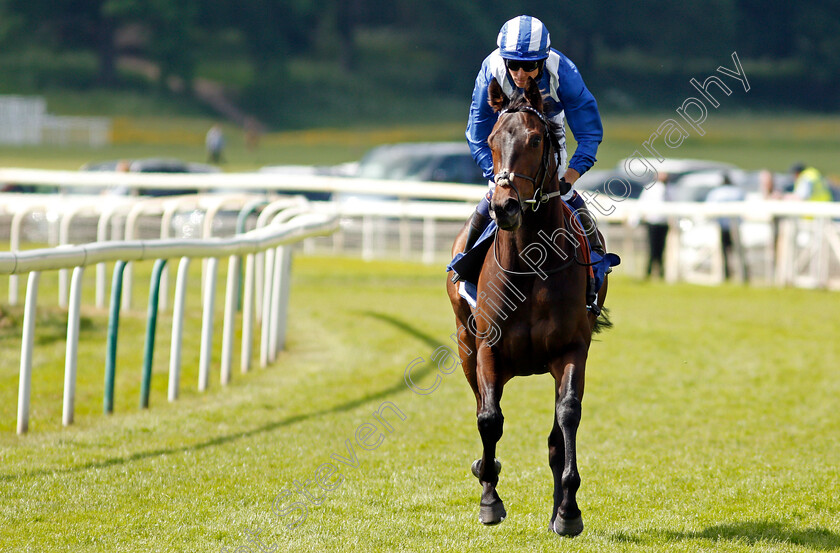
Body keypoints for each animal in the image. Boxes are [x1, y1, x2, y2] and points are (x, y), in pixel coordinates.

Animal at [446, 75, 612, 532]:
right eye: (491, 138)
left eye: (536, 139)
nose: (505, 206)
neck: (531, 266)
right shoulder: (487, 349)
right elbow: (488, 418)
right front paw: (489, 498)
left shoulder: (572, 349)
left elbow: (567, 415)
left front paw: (568, 510)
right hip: (466, 346)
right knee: (482, 405)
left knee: (557, 432)